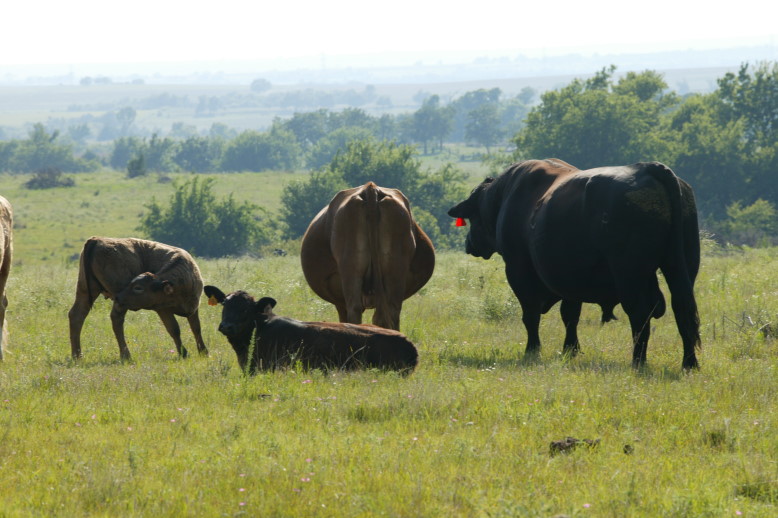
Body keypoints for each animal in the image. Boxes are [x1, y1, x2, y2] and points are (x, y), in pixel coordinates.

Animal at [68, 239, 208, 362]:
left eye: (138, 287)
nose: (118, 297)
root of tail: (96, 240)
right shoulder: (162, 310)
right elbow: (174, 330)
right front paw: (183, 353)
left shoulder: (193, 308)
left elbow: (196, 328)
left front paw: (204, 352)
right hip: (117, 302)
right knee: (116, 320)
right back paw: (126, 355)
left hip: (85, 291)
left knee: (77, 316)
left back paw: (77, 356)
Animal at [298, 183, 434, 330]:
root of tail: (370, 188)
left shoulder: (340, 302)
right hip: (396, 270)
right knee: (391, 311)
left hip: (350, 270)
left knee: (354, 310)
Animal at [446, 159, 700, 370]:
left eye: (472, 216)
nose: (469, 243)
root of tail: (648, 168)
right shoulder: (571, 277)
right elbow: (570, 315)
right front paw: (570, 350)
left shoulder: (519, 271)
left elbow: (530, 315)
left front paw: (532, 350)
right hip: (681, 269)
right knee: (683, 312)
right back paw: (689, 363)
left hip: (629, 275)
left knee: (640, 315)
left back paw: (638, 361)